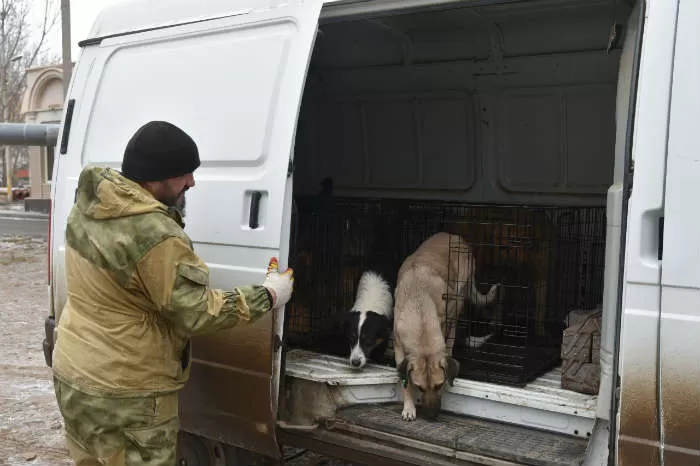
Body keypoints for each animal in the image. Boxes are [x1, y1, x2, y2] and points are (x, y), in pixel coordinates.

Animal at [392, 235, 500, 420]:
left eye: (439, 385)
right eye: (419, 387)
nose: (431, 415)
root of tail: (458, 238)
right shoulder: (399, 348)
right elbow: (404, 381)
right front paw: (409, 407)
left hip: (459, 296)